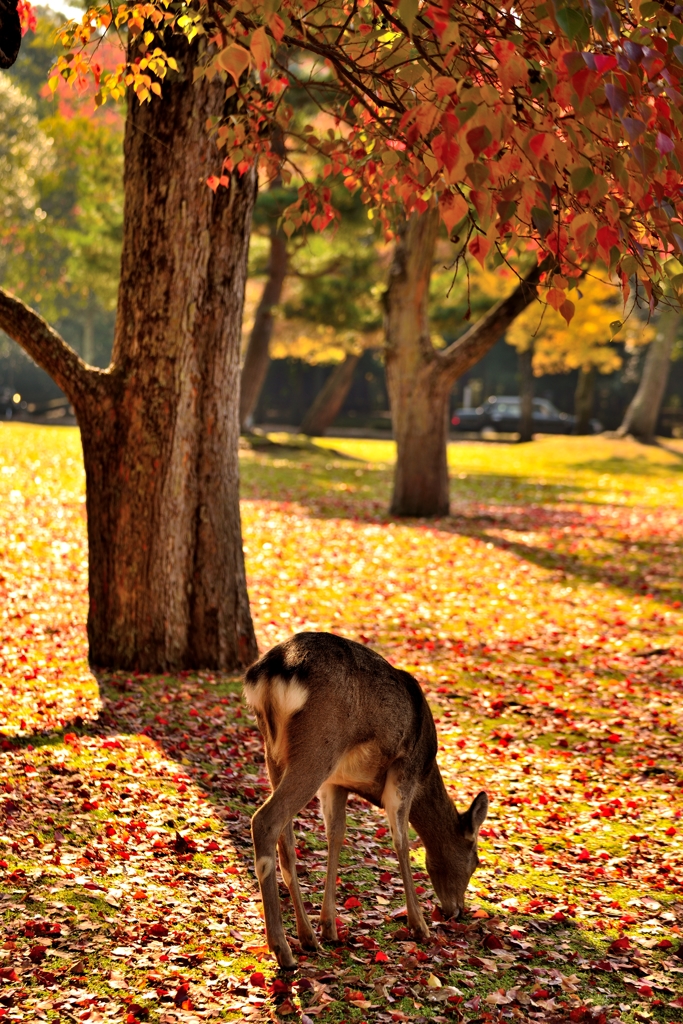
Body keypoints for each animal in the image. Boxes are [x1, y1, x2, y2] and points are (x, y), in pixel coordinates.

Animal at [242, 630, 489, 966]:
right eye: (475, 861)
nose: (456, 911)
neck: (427, 770)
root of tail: (272, 669)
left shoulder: (337, 783)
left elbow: (336, 835)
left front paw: (329, 928)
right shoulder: (405, 769)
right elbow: (401, 840)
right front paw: (419, 925)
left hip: (274, 752)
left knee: (286, 842)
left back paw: (307, 938)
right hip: (318, 746)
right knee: (265, 820)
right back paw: (282, 950)